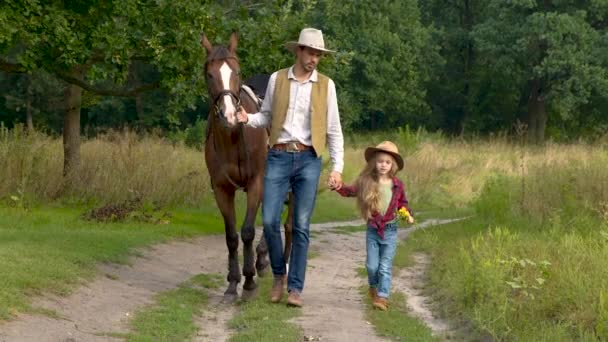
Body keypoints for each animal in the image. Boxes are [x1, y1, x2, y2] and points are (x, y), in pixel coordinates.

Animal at [201, 30, 294, 300]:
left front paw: (249, 281)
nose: (229, 115)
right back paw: (263, 259)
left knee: (288, 225)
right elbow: (232, 236)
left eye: (237, 71)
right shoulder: (222, 189)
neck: (233, 137)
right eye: (209, 74)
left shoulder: (256, 183)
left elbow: (248, 231)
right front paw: (233, 283)